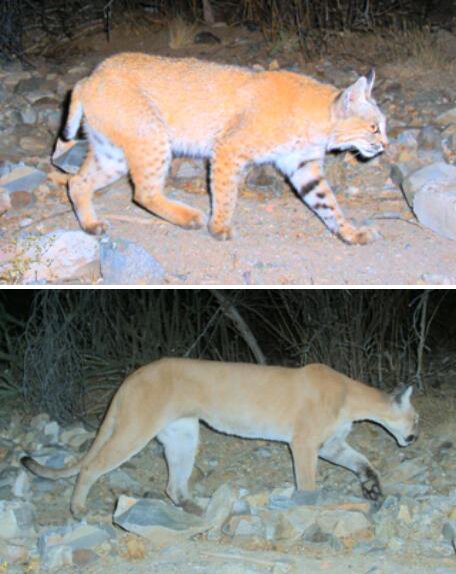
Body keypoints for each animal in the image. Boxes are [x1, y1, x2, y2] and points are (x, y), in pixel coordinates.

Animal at [23, 360, 418, 516]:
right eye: (416, 416)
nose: (415, 436)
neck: (353, 397)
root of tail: (134, 375)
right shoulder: (305, 444)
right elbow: (307, 483)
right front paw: (308, 507)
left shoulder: (331, 444)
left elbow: (363, 461)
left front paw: (373, 489)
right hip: (135, 428)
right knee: (91, 467)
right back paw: (77, 509)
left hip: (183, 435)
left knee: (174, 485)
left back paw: (203, 511)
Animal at [62, 53, 386, 244]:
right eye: (374, 127)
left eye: (382, 126)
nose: (385, 145)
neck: (320, 120)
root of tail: (91, 75)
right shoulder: (228, 149)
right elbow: (226, 193)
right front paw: (218, 227)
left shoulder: (302, 165)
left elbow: (326, 202)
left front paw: (350, 232)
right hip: (152, 135)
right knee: (143, 192)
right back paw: (190, 218)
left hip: (113, 153)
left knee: (77, 182)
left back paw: (90, 224)